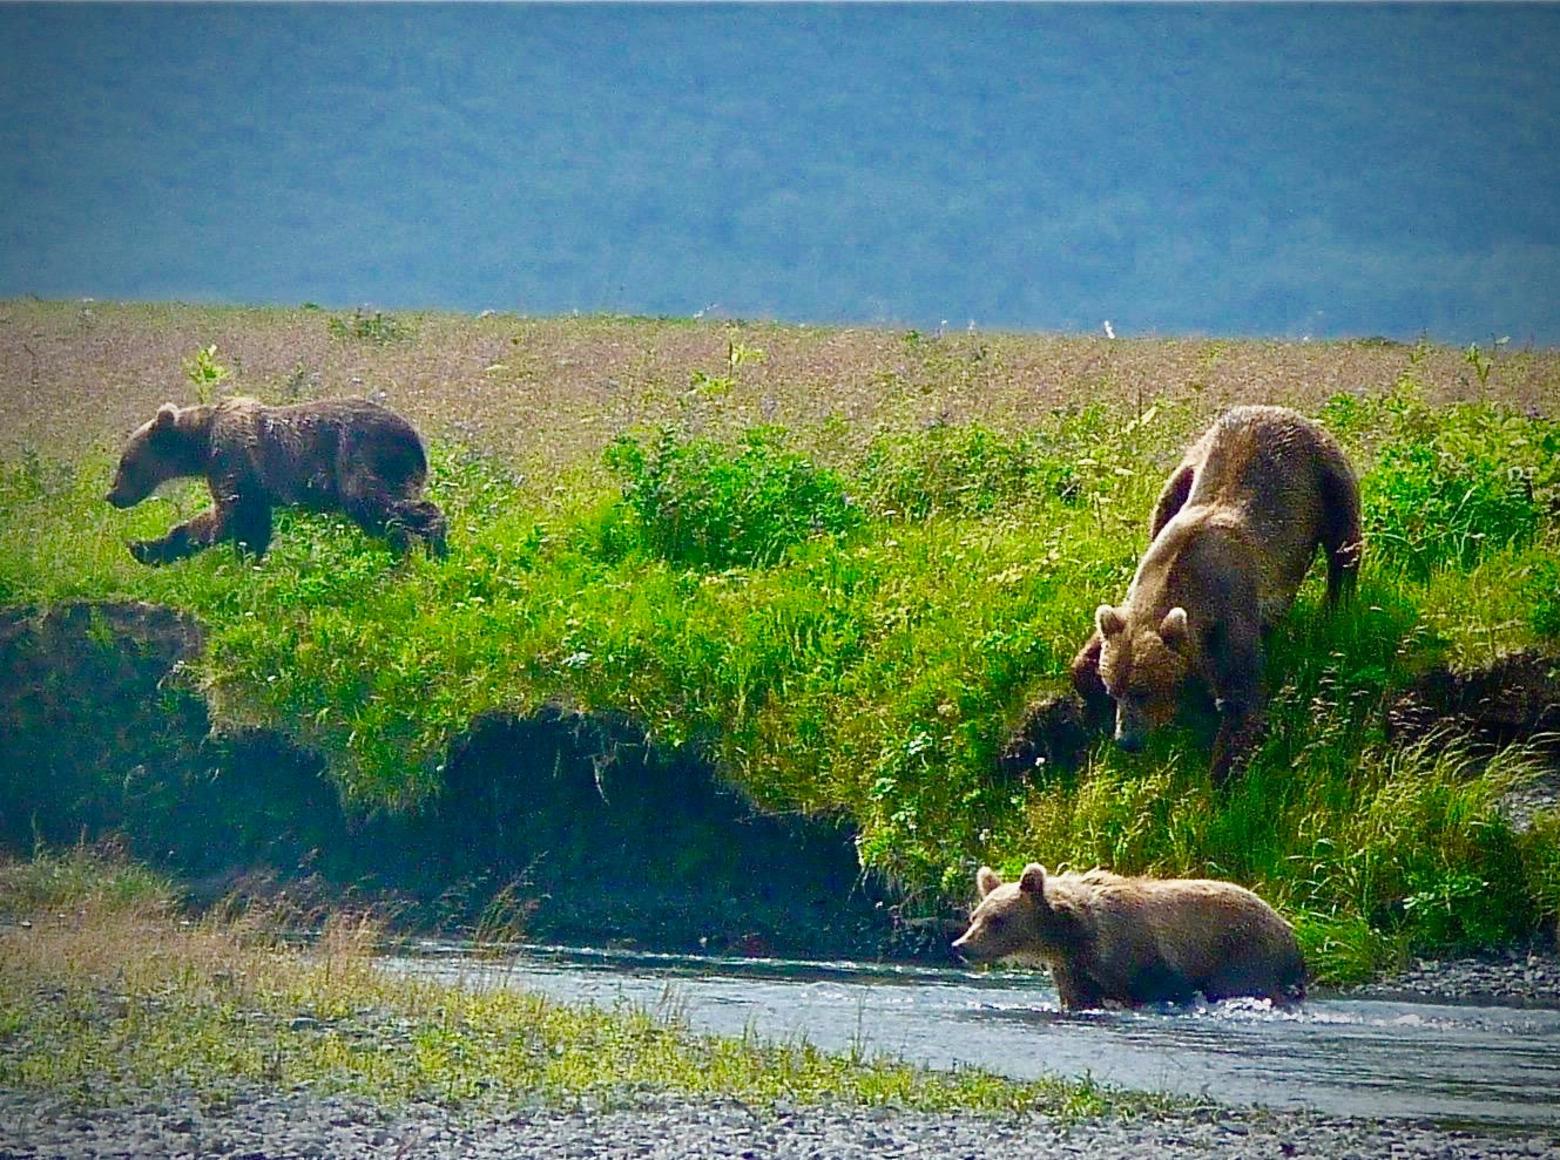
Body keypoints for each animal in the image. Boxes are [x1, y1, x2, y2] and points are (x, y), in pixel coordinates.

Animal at [106, 396, 449, 564]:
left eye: (125, 463)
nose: (112, 495)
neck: (201, 444)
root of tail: (415, 439)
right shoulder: (250, 483)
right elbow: (252, 523)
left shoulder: (233, 460)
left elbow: (230, 518)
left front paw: (146, 547)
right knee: (382, 519)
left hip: (360, 457)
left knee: (378, 502)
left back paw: (435, 544)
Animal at [948, 854, 1304, 1010]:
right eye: (974, 917)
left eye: (997, 919)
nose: (960, 945)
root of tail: (1288, 930)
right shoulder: (1074, 967)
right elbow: (1079, 997)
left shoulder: (1138, 953)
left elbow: (1158, 989)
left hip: (1243, 952)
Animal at [1073, 402, 1354, 782]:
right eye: (1113, 687)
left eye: (1144, 691)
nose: (1127, 740)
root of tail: (1282, 410)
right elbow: (1088, 653)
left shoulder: (1231, 610)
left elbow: (1242, 696)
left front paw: (1221, 773)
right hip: (1187, 468)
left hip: (1327, 477)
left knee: (1345, 546)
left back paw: (1336, 608)